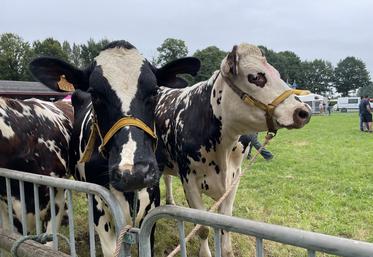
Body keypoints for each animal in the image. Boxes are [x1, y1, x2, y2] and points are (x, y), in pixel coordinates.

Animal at [154, 43, 310, 256]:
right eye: (256, 77)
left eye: (277, 74)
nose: (304, 112)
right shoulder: (189, 181)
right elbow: (202, 228)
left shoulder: (234, 179)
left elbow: (225, 224)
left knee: (167, 178)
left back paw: (170, 201)